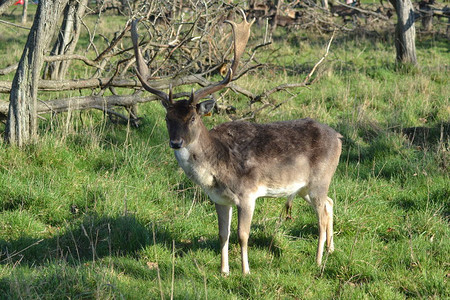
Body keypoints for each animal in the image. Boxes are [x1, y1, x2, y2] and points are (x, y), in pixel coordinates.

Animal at [132, 10, 342, 274]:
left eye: (192, 117)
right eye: (167, 118)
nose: (176, 142)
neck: (215, 171)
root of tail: (339, 137)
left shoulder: (248, 193)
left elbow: (243, 235)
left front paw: (245, 271)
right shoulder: (220, 199)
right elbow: (223, 234)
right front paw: (223, 271)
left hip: (320, 180)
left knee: (322, 216)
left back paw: (318, 260)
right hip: (304, 187)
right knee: (330, 203)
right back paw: (331, 250)